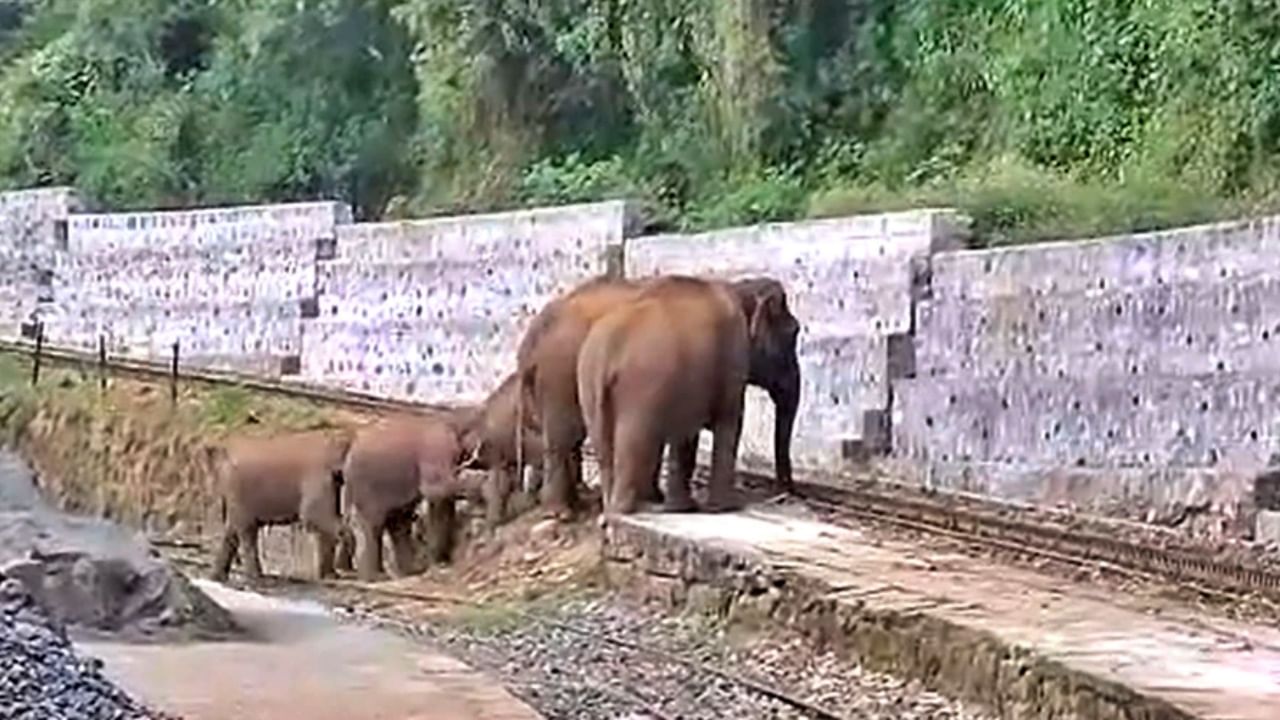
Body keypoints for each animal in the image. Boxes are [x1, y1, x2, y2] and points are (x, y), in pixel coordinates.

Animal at [207, 425, 355, 584]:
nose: (347, 568)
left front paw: (331, 576)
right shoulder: (317, 477)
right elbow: (314, 516)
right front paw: (341, 569)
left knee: (232, 531)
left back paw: (218, 578)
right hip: (238, 494)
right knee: (247, 531)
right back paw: (258, 579)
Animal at [512, 272, 793, 515]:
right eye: (794, 333)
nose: (784, 494)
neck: (739, 287)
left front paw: (672, 503)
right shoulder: (732, 358)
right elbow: (729, 420)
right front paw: (724, 508)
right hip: (564, 376)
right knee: (570, 439)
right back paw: (569, 511)